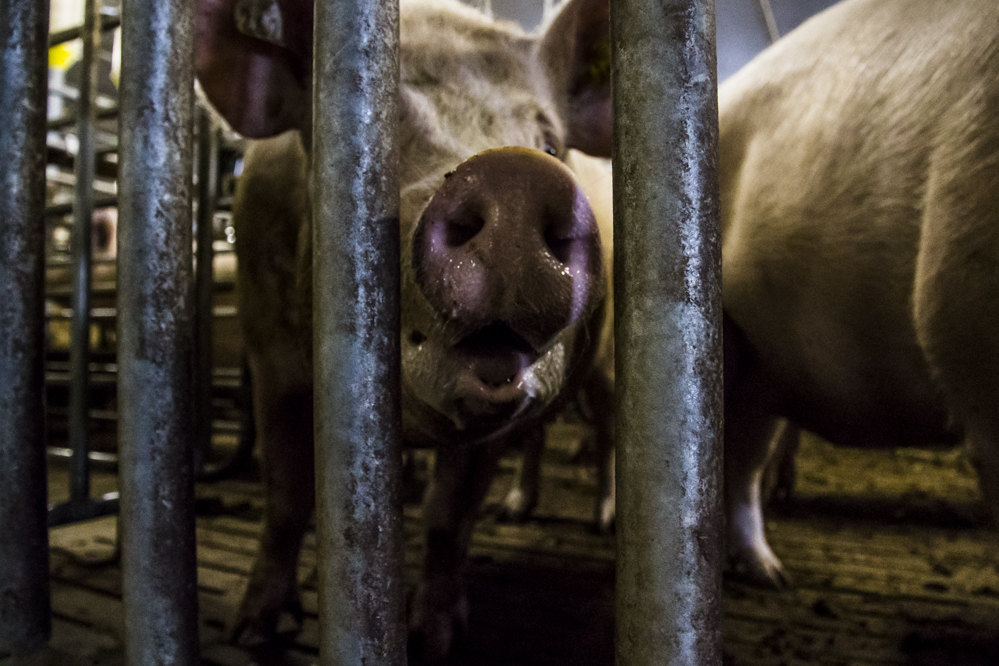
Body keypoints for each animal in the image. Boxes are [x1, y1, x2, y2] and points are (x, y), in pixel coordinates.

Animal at [192, 0, 612, 656]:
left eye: (550, 141)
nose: (513, 175)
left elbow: (449, 515)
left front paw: (434, 637)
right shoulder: (268, 352)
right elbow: (285, 493)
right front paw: (252, 630)